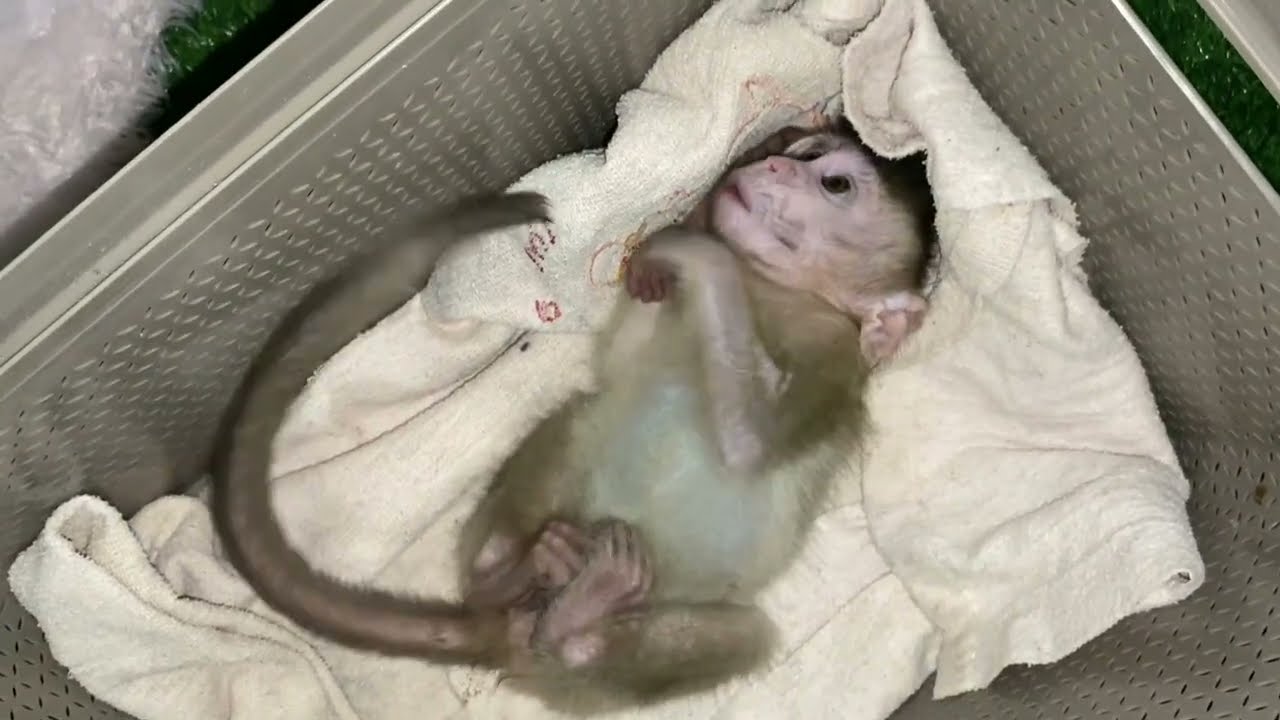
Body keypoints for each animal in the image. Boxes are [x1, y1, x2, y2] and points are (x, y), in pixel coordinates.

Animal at [210, 124, 934, 712]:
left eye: (834, 181)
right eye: (804, 151)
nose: (776, 164)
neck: (781, 293)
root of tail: (508, 636)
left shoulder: (830, 360)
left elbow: (746, 447)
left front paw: (694, 255)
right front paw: (671, 246)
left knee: (736, 634)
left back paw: (576, 620)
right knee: (582, 421)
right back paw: (520, 572)